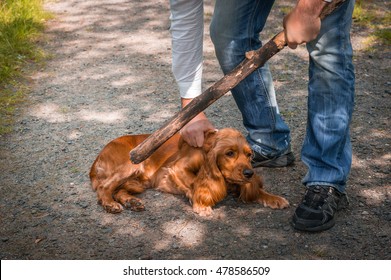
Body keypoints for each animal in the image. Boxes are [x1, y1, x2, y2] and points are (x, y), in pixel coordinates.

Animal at [90, 128, 290, 215]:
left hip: (138, 182)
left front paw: (275, 198)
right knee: (105, 188)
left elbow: (258, 191)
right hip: (131, 165)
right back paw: (110, 204)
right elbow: (194, 184)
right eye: (229, 153)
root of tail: (97, 157)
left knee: (118, 190)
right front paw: (200, 203)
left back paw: (132, 202)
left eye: (249, 155)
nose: (249, 174)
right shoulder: (177, 167)